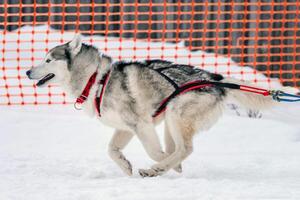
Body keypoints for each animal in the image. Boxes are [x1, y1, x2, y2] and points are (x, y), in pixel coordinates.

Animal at [26, 35, 274, 177]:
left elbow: (154, 152)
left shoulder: (141, 125)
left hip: (175, 114)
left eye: (48, 60)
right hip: (171, 123)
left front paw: (160, 165)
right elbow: (111, 150)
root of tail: (214, 78)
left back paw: (159, 169)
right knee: (177, 149)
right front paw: (125, 166)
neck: (96, 79)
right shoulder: (125, 128)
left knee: (185, 149)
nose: (27, 71)